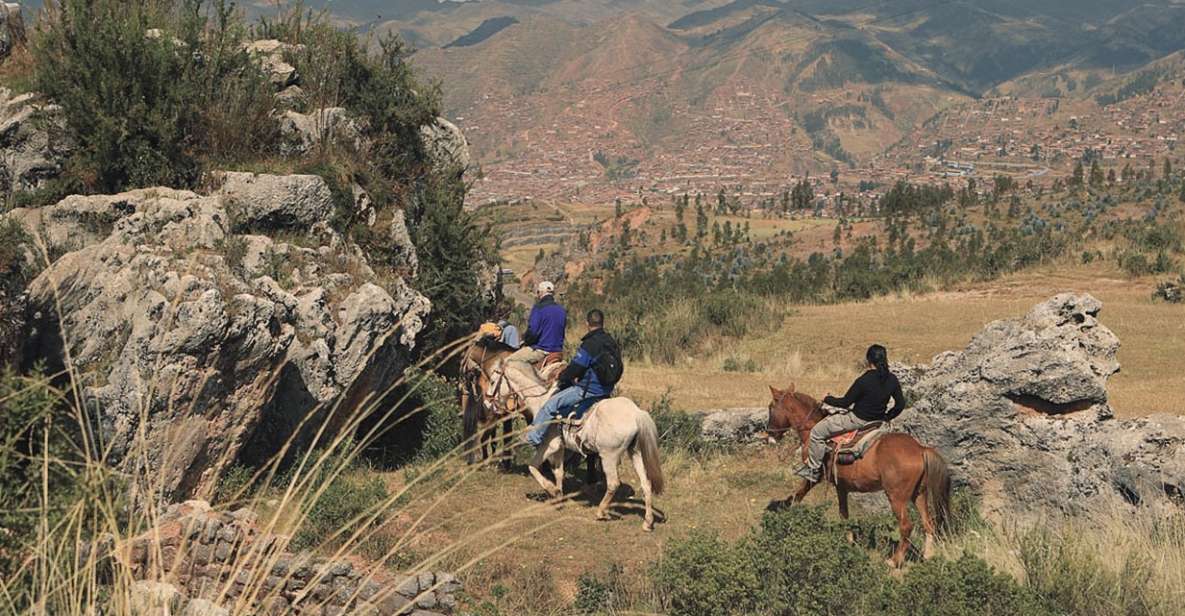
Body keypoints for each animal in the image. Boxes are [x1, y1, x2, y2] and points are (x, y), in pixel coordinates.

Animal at [767, 383, 952, 568]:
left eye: (770, 407)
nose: (770, 434)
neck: (811, 427)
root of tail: (920, 449)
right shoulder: (841, 487)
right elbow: (844, 514)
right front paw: (849, 541)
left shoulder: (815, 475)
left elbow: (798, 495)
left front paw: (789, 514)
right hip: (919, 494)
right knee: (929, 523)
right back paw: (928, 555)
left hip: (897, 498)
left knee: (906, 526)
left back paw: (894, 560)